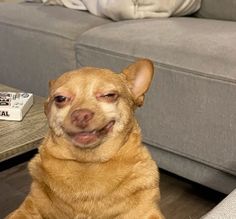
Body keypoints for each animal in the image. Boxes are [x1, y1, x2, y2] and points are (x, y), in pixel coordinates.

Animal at [5, 59, 164, 219]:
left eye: (109, 95)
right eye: (60, 99)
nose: (81, 115)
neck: (87, 162)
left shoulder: (147, 213)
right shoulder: (29, 208)